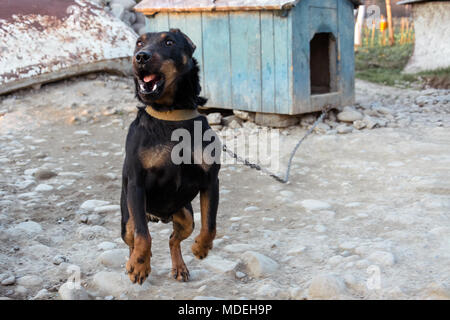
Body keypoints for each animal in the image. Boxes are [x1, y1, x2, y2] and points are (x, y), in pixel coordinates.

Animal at [120, 30, 221, 284]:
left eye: (169, 42)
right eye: (139, 42)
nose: (140, 56)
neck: (170, 115)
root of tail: (158, 215)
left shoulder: (211, 180)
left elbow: (210, 225)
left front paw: (201, 248)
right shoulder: (136, 183)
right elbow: (143, 236)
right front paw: (139, 265)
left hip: (185, 216)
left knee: (173, 239)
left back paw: (179, 267)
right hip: (128, 218)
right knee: (133, 238)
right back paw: (135, 261)